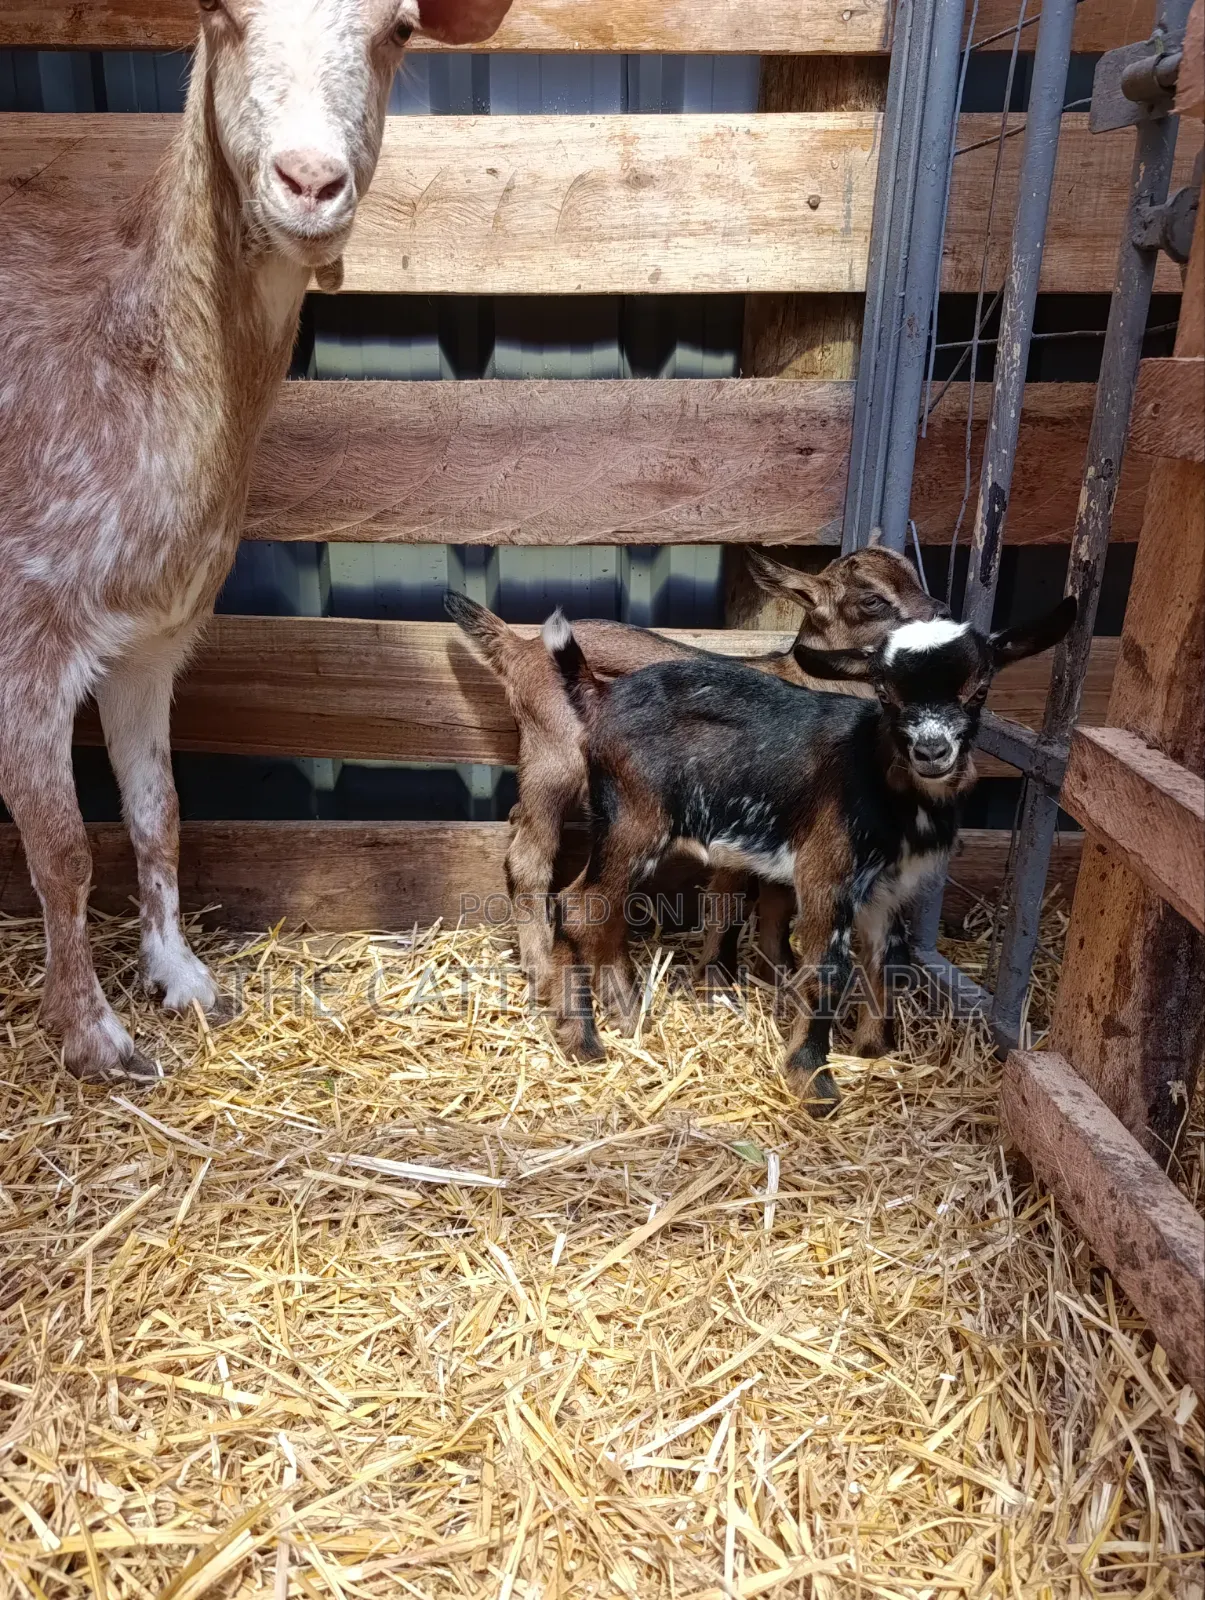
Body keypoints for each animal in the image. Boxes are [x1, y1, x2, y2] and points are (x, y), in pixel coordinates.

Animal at [0, 0, 512, 1084]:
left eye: (400, 29)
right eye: (221, 15)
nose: (310, 180)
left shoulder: (152, 639)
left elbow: (157, 811)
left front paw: (182, 978)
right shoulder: (23, 628)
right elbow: (62, 848)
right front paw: (95, 1036)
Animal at [445, 542, 947, 998]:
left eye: (915, 575)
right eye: (872, 599)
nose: (941, 614)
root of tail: (519, 648)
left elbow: (777, 903)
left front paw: (776, 977)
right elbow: (730, 901)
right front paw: (718, 981)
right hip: (555, 760)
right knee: (529, 860)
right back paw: (544, 972)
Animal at [542, 598, 1076, 1115]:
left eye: (980, 688)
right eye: (884, 693)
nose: (931, 751)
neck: (879, 777)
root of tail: (600, 696)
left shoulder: (888, 888)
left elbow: (890, 959)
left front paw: (873, 1051)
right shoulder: (827, 872)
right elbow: (827, 970)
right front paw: (813, 1080)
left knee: (603, 909)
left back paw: (627, 1013)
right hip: (636, 820)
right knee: (579, 907)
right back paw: (584, 1040)